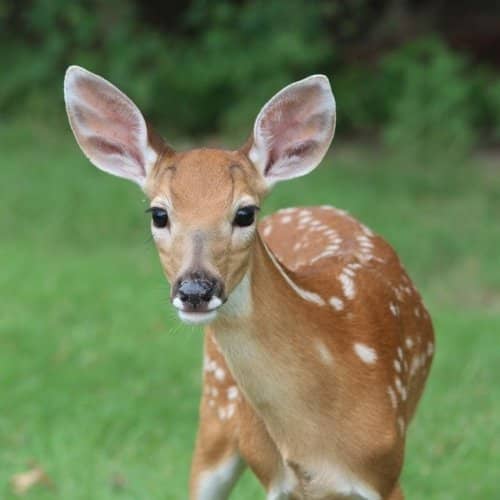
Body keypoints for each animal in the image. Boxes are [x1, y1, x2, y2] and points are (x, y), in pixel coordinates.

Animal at [64, 67, 434, 500]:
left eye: (245, 213)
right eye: (158, 214)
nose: (195, 290)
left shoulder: (385, 472)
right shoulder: (277, 479)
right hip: (216, 409)